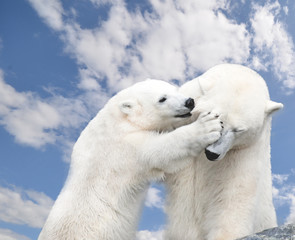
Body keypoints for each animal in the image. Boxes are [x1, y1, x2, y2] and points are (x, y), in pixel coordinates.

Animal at [39, 79, 223, 240]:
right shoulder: (122, 150)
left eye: (176, 89)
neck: (116, 121)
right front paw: (207, 126)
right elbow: (159, 150)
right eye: (162, 99)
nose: (189, 101)